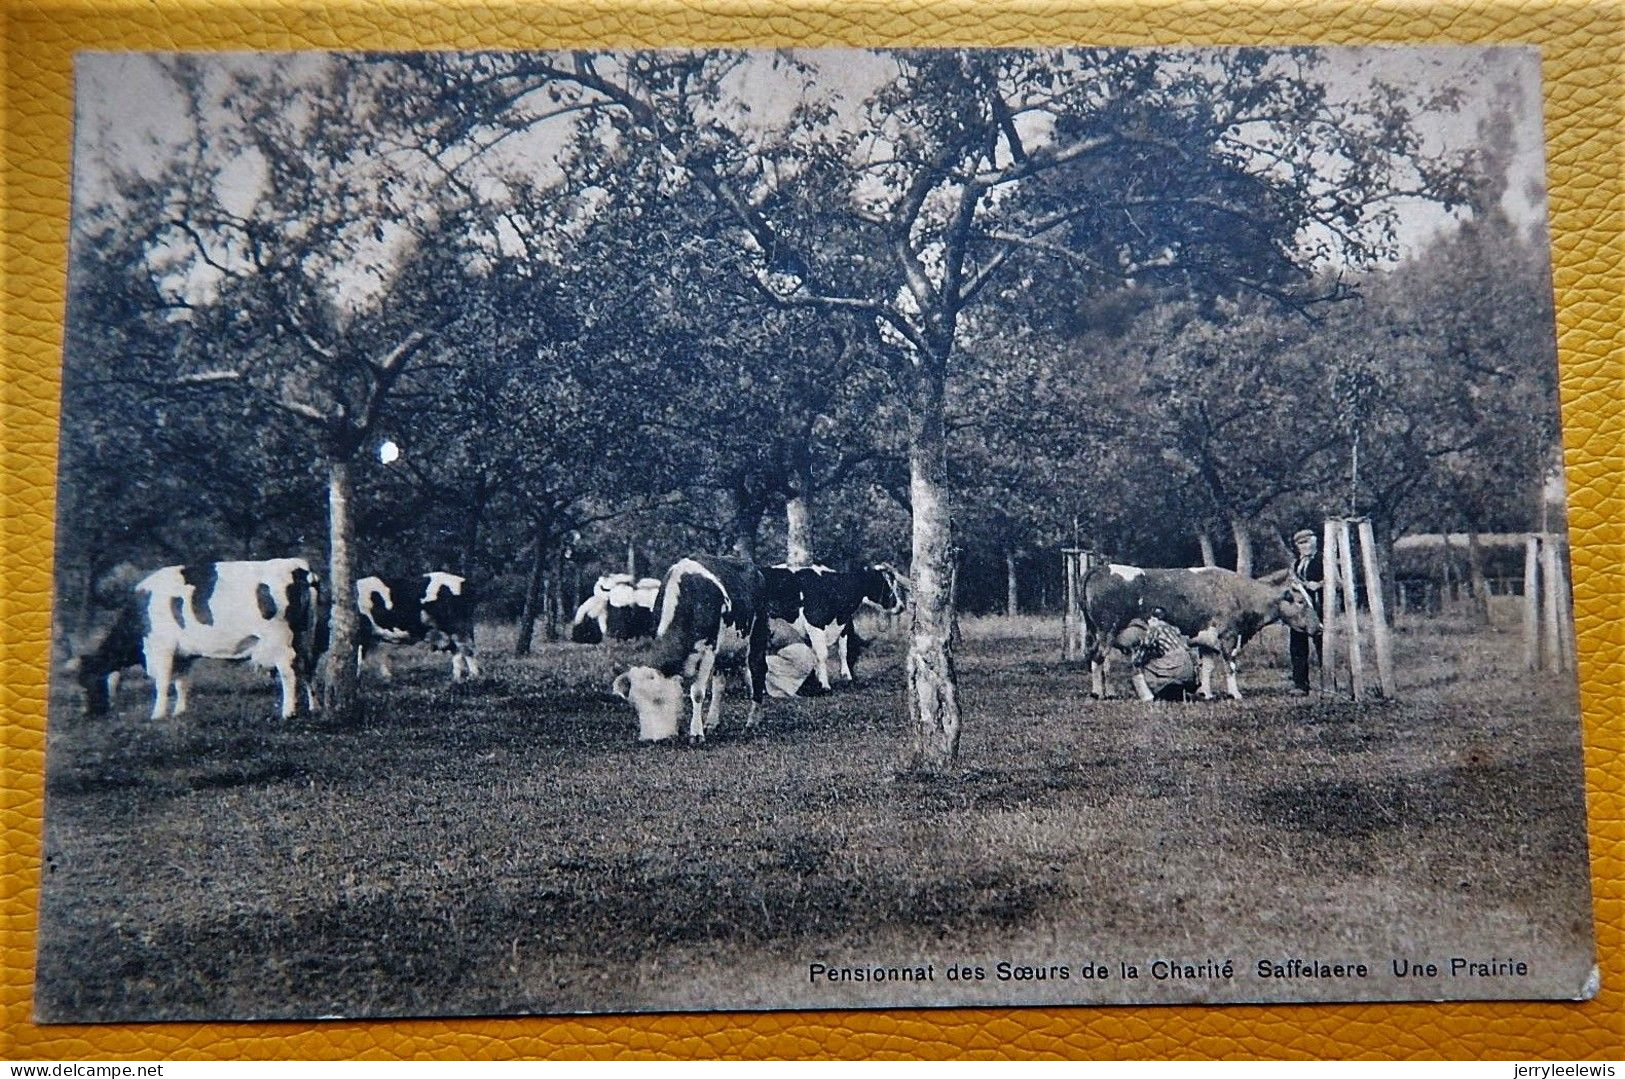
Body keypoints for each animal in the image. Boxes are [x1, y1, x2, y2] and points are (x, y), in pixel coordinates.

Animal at [70, 559, 323, 721]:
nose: (86, 714)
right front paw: (179, 712)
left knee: (288, 672)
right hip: (304, 634)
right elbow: (181, 682)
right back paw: (315, 707)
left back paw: (288, 712)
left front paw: (157, 714)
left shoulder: (162, 647)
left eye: (85, 683)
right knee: (308, 667)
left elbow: (162, 682)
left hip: (280, 638)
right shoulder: (184, 654)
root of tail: (299, 567)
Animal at [614, 555, 773, 741]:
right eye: (635, 704)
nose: (650, 738)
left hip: (758, 633)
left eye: (659, 699)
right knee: (723, 683)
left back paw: (752, 721)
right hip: (728, 646)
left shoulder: (707, 649)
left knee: (757, 670)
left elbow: (697, 693)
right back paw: (714, 722)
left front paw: (696, 733)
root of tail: (755, 569)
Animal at [763, 565, 910, 692]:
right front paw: (824, 684)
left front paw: (845, 676)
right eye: (887, 587)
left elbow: (842, 651)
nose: (902, 606)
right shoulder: (815, 624)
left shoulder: (843, 625)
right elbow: (822, 655)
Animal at [1079, 559, 1319, 705]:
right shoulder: (1229, 636)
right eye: (1300, 601)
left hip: (1101, 632)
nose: (1319, 628)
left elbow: (1208, 668)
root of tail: (1100, 568)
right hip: (1107, 629)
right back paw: (1102, 693)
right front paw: (1235, 693)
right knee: (1099, 658)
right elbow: (1230, 666)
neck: (1239, 593)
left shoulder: (1207, 641)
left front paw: (1207, 693)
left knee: (1104, 661)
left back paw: (1108, 692)